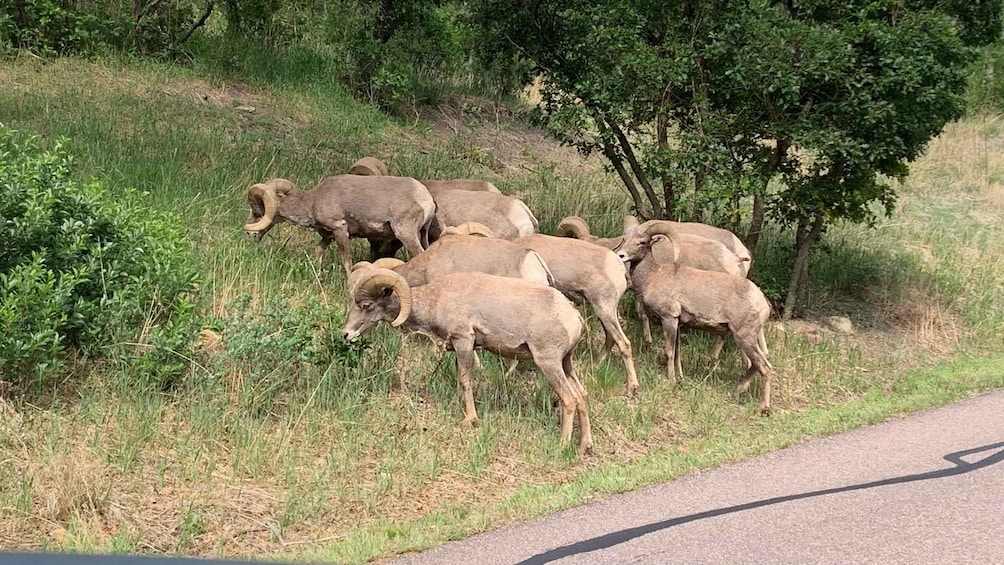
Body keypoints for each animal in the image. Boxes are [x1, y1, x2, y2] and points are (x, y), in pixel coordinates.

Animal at [242, 175, 435, 274]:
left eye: (258, 212)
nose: (250, 234)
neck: (313, 202)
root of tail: (426, 200)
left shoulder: (340, 229)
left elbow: (347, 262)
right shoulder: (329, 236)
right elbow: (318, 251)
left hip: (406, 235)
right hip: (422, 235)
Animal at [345, 266, 590, 453]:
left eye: (366, 306)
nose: (346, 334)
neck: (437, 298)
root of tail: (573, 317)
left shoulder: (464, 341)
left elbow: (465, 380)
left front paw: (470, 420)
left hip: (548, 363)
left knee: (569, 399)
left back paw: (562, 445)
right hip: (566, 362)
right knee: (581, 396)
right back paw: (585, 445)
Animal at [514, 232, 638, 393]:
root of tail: (619, 267)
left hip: (604, 309)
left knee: (623, 343)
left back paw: (632, 388)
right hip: (604, 312)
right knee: (610, 338)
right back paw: (595, 366)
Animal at [622, 230, 771, 415]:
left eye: (642, 242)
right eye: (626, 239)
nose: (621, 255)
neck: (654, 275)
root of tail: (763, 303)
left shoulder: (669, 319)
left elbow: (669, 352)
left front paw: (671, 379)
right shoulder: (678, 325)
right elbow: (677, 354)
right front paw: (679, 378)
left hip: (744, 337)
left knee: (764, 367)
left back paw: (763, 407)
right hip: (750, 338)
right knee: (759, 363)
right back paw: (738, 390)